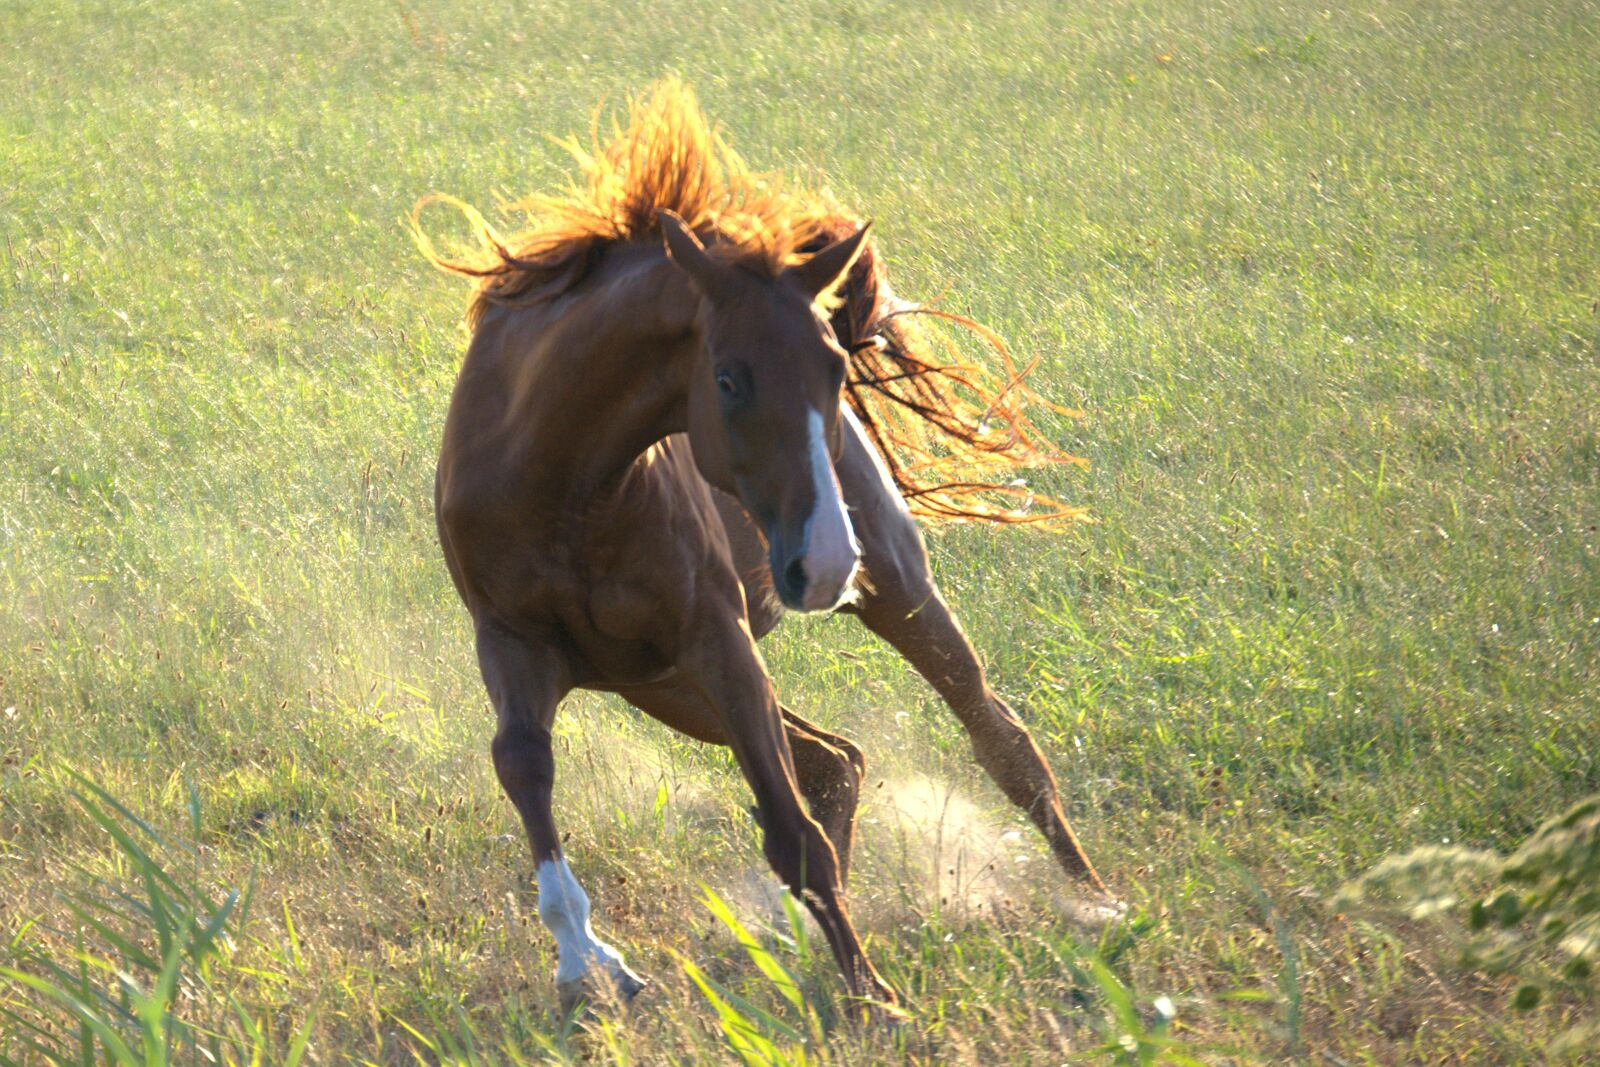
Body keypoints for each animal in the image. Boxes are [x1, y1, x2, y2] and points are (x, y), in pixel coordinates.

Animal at [419, 81, 1107, 1016]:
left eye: (833, 369)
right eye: (729, 377)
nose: (825, 562)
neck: (564, 485)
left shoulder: (719, 638)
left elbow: (791, 826)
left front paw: (873, 997)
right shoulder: (514, 641)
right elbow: (524, 765)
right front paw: (587, 964)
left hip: (887, 593)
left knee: (998, 738)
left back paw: (1095, 900)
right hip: (661, 686)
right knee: (836, 761)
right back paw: (790, 932)